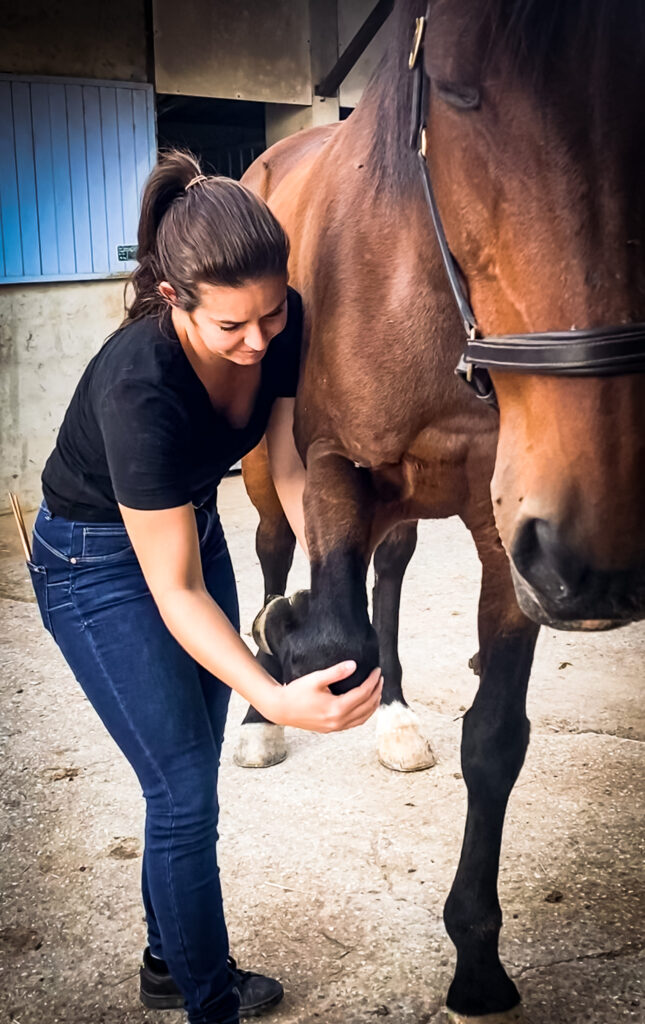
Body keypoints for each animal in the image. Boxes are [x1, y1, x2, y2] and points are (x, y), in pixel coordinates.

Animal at [239, 1, 645, 1018]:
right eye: (458, 90)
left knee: (385, 574)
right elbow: (326, 628)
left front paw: (476, 959)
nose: (605, 565)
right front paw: (283, 639)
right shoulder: (333, 464)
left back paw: (394, 712)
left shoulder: (516, 537)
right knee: (269, 551)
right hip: (266, 472)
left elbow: (494, 738)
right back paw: (260, 714)